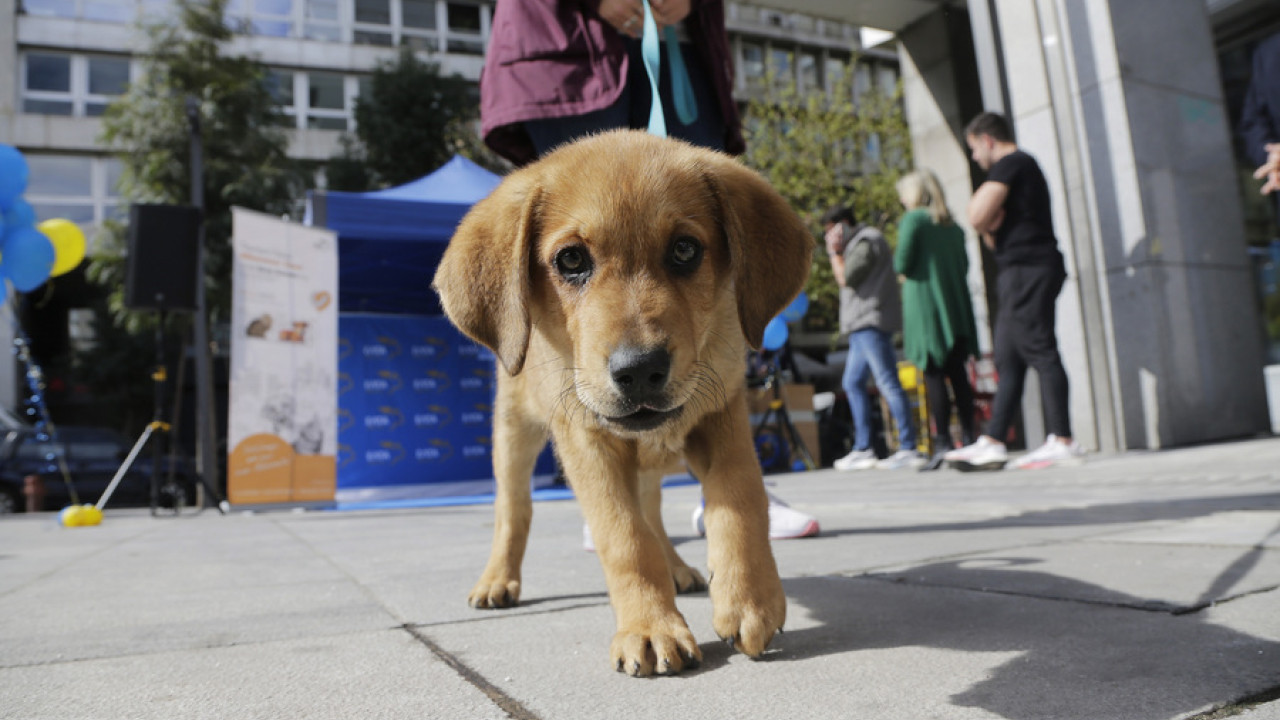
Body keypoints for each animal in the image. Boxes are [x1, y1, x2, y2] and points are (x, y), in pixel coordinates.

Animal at [430, 127, 808, 671]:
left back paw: (678, 569)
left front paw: (751, 600)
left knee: (652, 509)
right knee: (514, 510)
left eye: (685, 250)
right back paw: (497, 581)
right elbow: (625, 537)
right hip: (513, 435)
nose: (640, 371)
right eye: (570, 260)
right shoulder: (587, 444)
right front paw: (650, 627)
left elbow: (740, 499)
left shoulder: (723, 413)